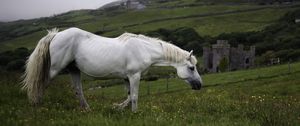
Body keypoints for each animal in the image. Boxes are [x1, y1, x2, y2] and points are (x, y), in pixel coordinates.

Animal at [22, 27, 203, 111]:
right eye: (191, 67)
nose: (199, 85)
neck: (144, 49)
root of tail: (55, 35)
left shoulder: (126, 77)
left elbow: (129, 96)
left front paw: (118, 108)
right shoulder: (134, 76)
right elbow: (135, 96)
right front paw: (134, 113)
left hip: (73, 70)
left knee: (78, 91)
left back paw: (87, 110)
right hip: (54, 70)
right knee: (39, 84)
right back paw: (36, 105)